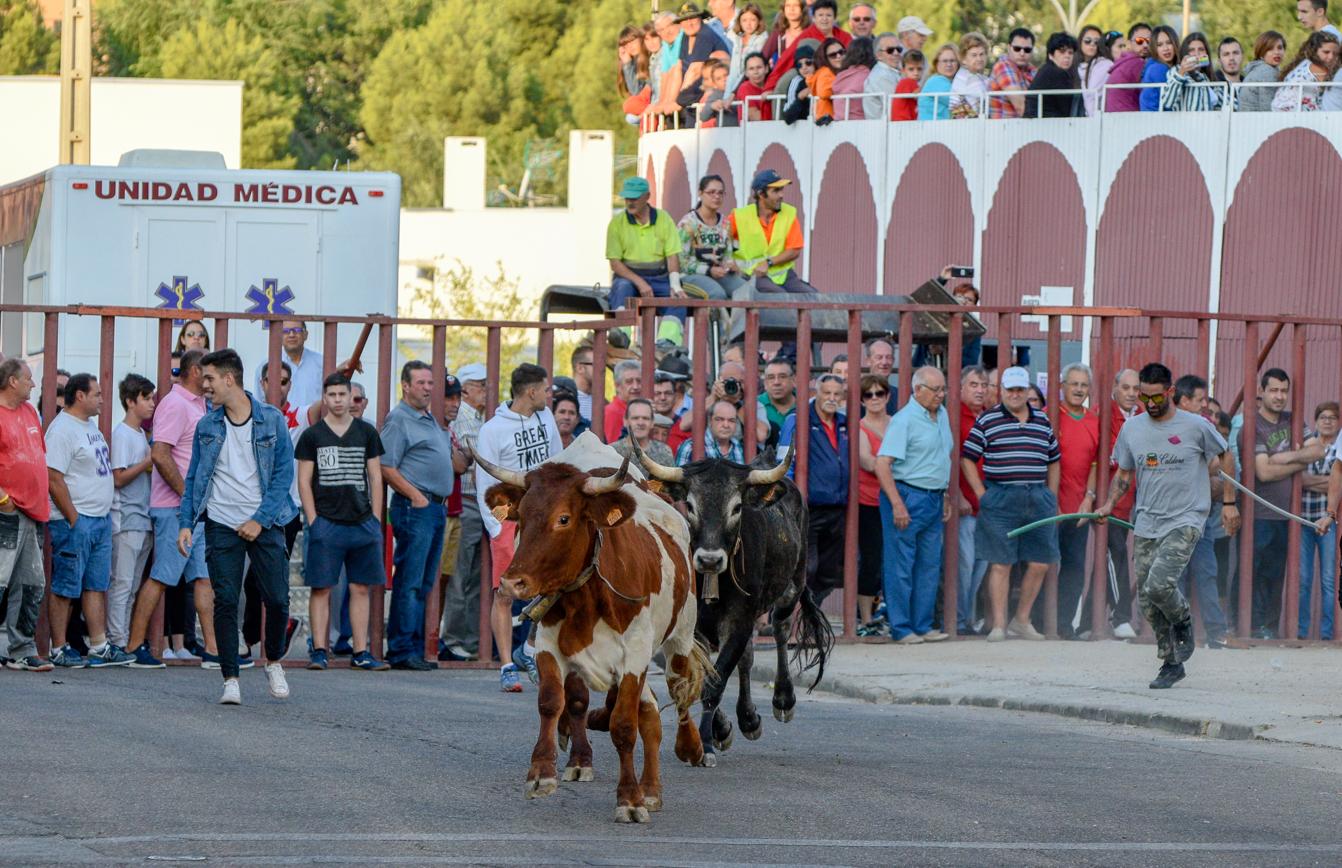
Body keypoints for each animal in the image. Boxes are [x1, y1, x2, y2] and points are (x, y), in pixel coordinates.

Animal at [475, 431, 713, 826]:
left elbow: (624, 726)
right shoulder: (550, 646)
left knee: (678, 691)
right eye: (520, 516)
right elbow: (553, 701)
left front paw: (629, 799)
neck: (588, 597)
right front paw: (541, 773)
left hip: (679, 636)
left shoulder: (634, 657)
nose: (512, 582)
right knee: (649, 713)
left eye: (564, 518)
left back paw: (688, 750)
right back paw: (651, 789)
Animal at [636, 445, 832, 762]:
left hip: (792, 587)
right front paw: (721, 729)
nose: (709, 559)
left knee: (780, 628)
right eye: (690, 505)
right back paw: (748, 718)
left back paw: (783, 699)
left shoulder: (739, 621)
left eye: (737, 507)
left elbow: (715, 682)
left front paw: (707, 740)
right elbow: (703, 675)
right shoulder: (693, 630)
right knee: (747, 658)